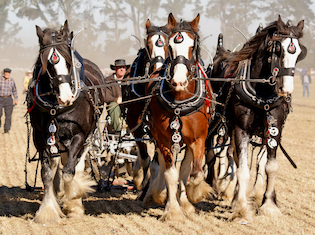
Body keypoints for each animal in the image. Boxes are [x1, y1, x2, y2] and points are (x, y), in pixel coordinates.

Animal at [27, 20, 106, 222]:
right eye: (46, 64)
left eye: (69, 62)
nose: (66, 98)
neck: (57, 108)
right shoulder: (41, 137)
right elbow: (48, 173)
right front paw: (48, 211)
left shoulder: (79, 135)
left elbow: (69, 172)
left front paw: (73, 201)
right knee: (57, 164)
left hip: (89, 135)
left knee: (77, 164)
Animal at [145, 14, 215, 220]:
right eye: (170, 46)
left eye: (193, 46)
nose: (178, 81)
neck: (180, 100)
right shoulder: (164, 139)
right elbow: (171, 174)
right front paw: (172, 209)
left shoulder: (199, 138)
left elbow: (194, 173)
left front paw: (193, 194)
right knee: (163, 164)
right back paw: (159, 192)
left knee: (185, 169)